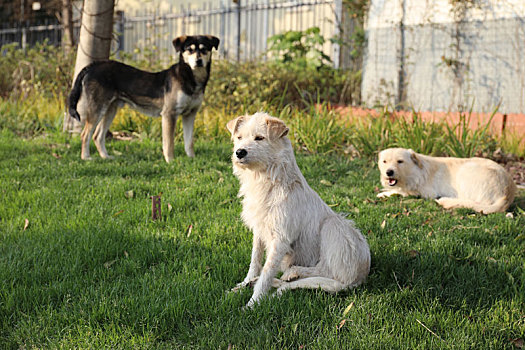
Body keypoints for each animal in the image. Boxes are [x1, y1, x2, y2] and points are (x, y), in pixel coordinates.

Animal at [68, 34, 219, 162]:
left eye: (204, 49)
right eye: (190, 50)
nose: (198, 61)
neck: (190, 78)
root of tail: (93, 66)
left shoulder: (190, 115)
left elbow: (189, 141)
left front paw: (192, 159)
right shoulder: (170, 114)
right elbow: (169, 143)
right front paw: (170, 161)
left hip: (110, 109)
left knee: (97, 135)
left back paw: (106, 157)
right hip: (97, 108)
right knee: (85, 134)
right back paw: (86, 157)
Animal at [225, 113, 368, 308]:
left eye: (259, 138)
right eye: (239, 137)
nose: (239, 152)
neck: (267, 179)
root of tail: (359, 279)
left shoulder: (280, 239)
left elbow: (267, 272)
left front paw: (253, 304)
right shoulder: (259, 231)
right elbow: (255, 261)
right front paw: (244, 283)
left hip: (333, 226)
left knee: (325, 270)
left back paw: (293, 272)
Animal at [376, 147, 516, 215]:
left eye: (400, 161)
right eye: (384, 161)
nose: (389, 172)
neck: (414, 172)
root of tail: (506, 195)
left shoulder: (424, 193)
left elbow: (400, 192)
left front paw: (383, 193)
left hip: (466, 171)